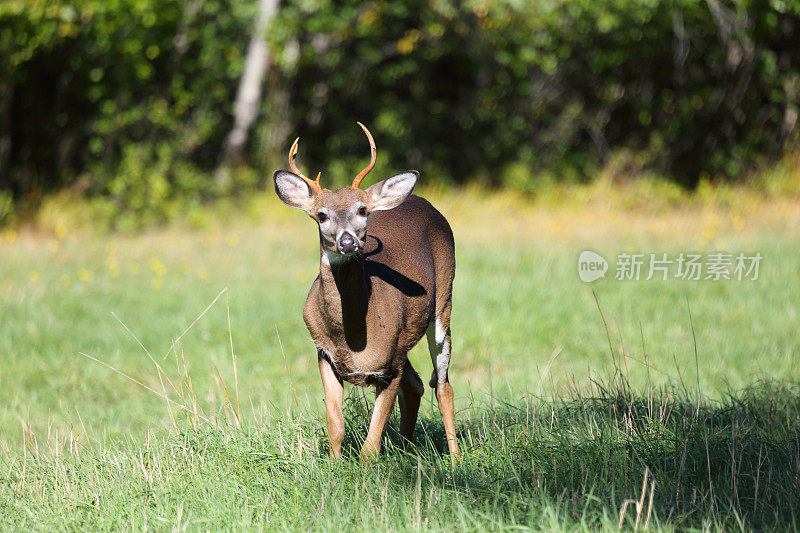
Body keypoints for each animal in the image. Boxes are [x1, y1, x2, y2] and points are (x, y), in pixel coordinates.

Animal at [272, 122, 460, 460]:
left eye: (362, 210)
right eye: (321, 215)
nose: (348, 241)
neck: (353, 335)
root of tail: (422, 201)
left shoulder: (391, 363)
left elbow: (371, 444)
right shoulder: (324, 353)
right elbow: (336, 427)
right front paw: (334, 467)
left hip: (443, 305)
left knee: (442, 385)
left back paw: (456, 458)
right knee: (417, 385)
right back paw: (405, 448)